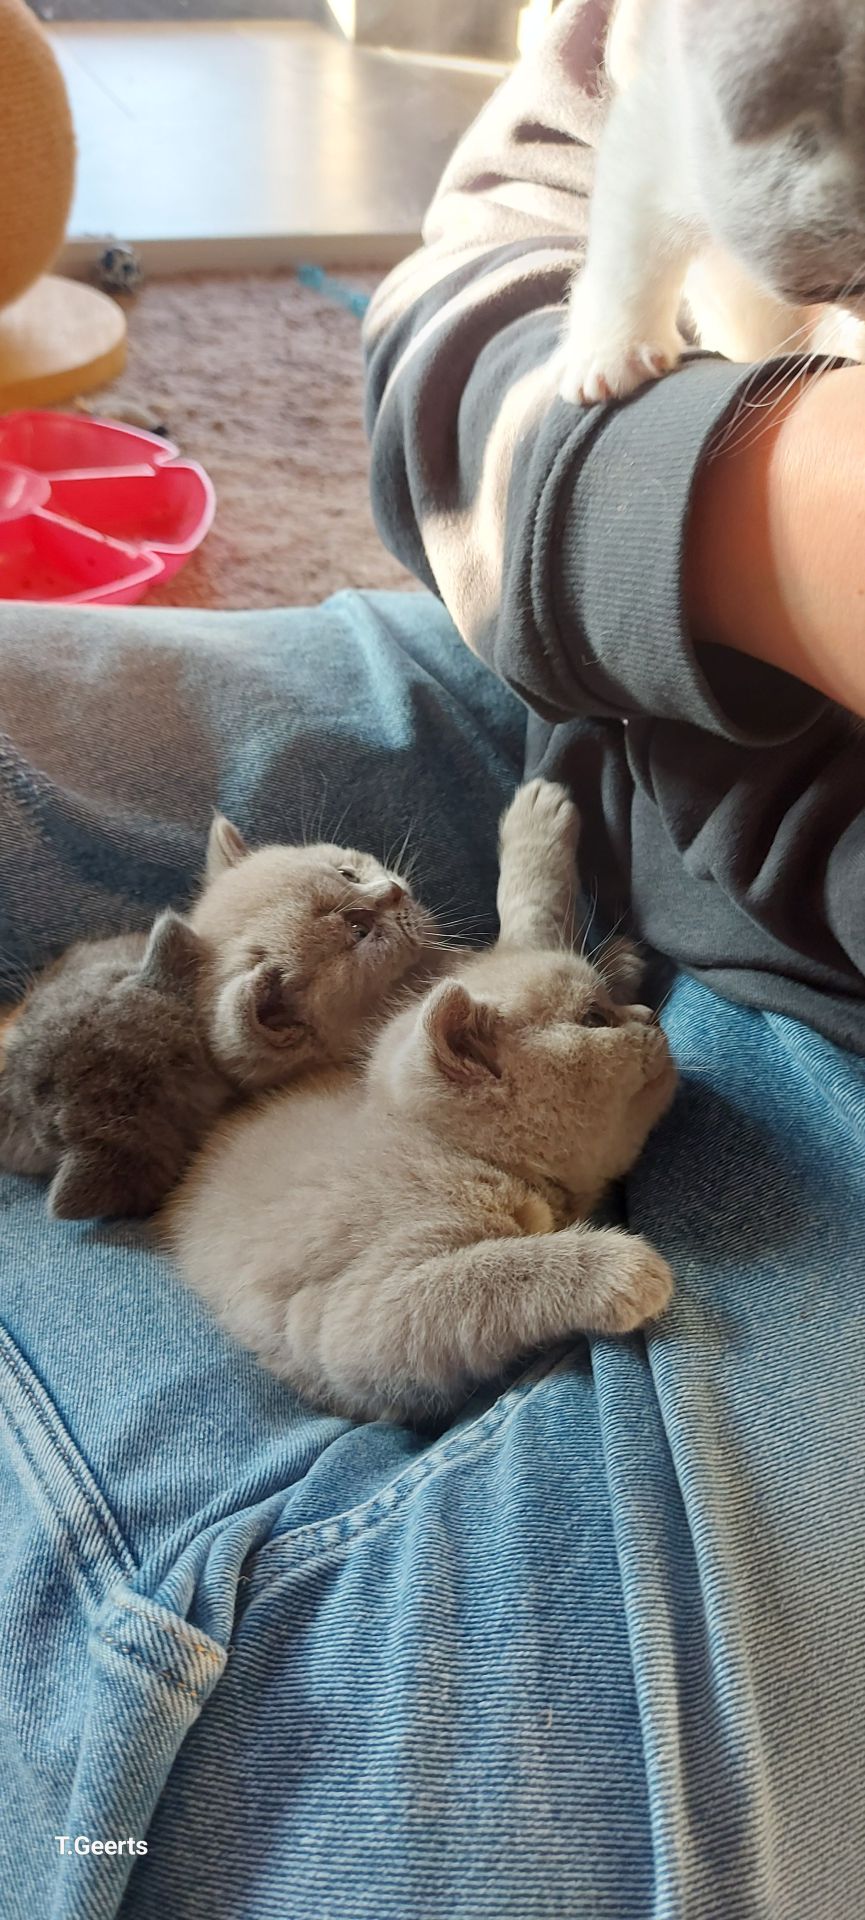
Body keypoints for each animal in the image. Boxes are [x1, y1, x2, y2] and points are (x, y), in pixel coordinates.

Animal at [167, 780, 677, 1424]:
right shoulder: (366, 1316)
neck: (454, 1150)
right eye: (592, 1020)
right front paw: (620, 1270)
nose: (648, 1017)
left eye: (348, 870)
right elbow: (491, 1278)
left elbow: (528, 922)